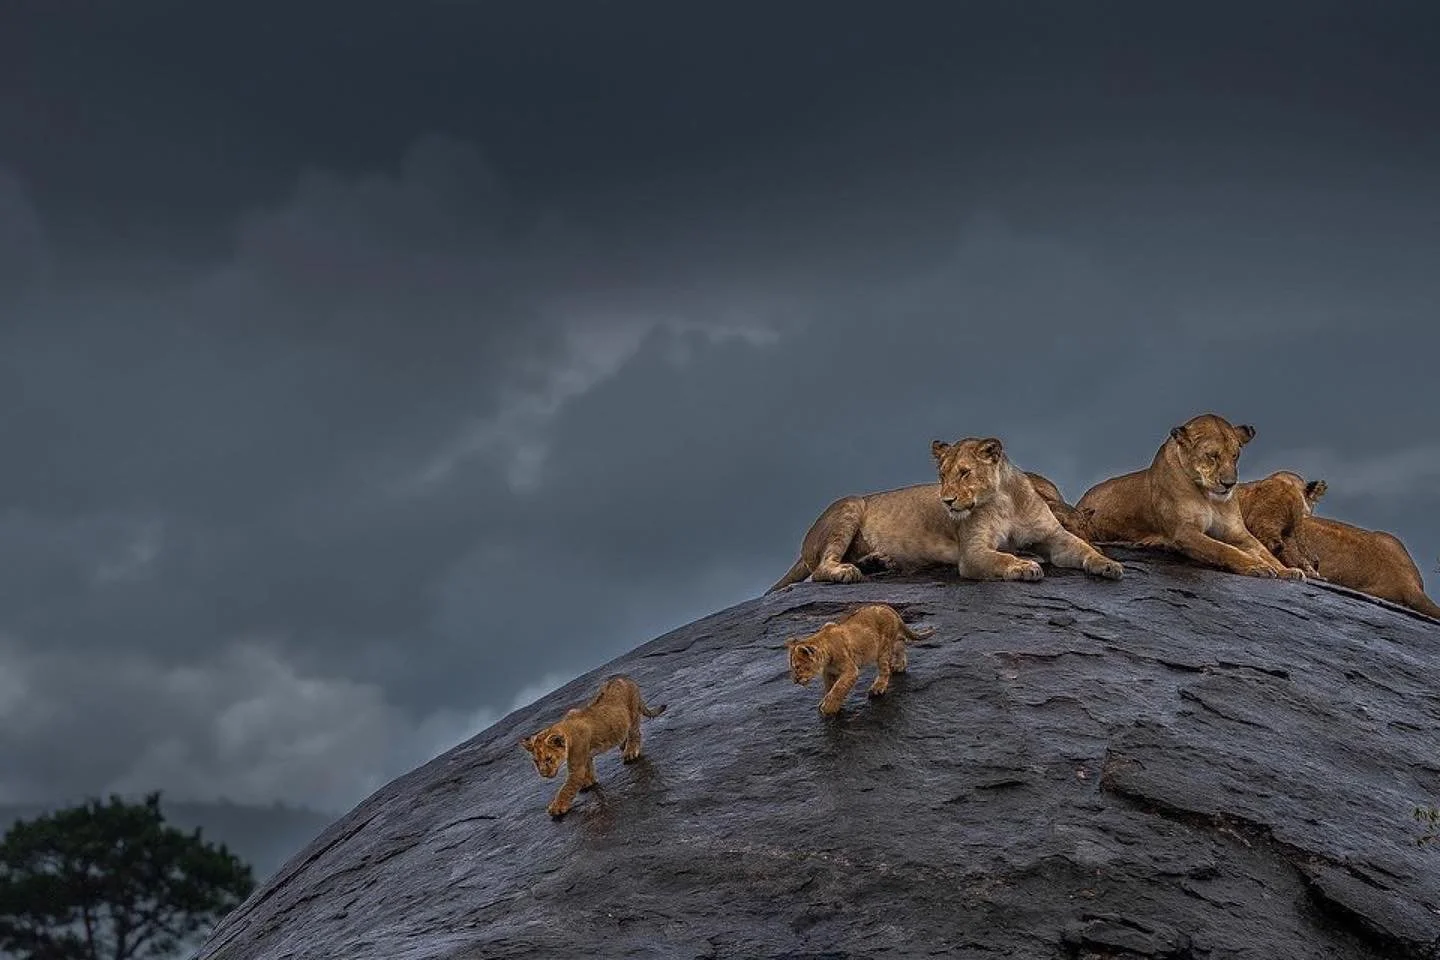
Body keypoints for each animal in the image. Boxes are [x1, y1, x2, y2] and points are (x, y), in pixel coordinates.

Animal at [519, 674, 667, 817]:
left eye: (549, 759)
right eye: (536, 762)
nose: (543, 774)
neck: (565, 731)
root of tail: (627, 680)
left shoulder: (576, 767)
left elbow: (566, 788)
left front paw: (556, 807)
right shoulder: (586, 755)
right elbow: (588, 768)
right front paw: (589, 782)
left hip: (632, 713)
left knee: (635, 733)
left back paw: (630, 752)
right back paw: (622, 745)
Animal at [766, 437, 1122, 592]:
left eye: (964, 473)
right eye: (942, 475)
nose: (947, 501)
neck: (1004, 499)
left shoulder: (1054, 536)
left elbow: (1082, 549)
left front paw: (1108, 564)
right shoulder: (973, 553)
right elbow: (1001, 557)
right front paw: (1023, 566)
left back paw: (877, 562)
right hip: (850, 505)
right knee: (822, 568)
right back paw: (847, 571)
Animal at [785, 604, 935, 716]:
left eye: (797, 667)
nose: (795, 681)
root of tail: (889, 608)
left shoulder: (851, 670)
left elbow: (838, 688)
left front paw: (828, 708)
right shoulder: (829, 672)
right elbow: (829, 687)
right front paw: (824, 700)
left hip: (883, 647)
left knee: (885, 669)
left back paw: (877, 688)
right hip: (893, 641)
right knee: (901, 644)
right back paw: (899, 666)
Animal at [1069, 413, 1305, 580]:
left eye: (1235, 456)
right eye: (1212, 456)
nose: (1229, 484)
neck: (1208, 495)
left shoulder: (1238, 532)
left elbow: (1264, 551)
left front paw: (1287, 570)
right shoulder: (1184, 532)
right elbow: (1222, 549)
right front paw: (1255, 565)